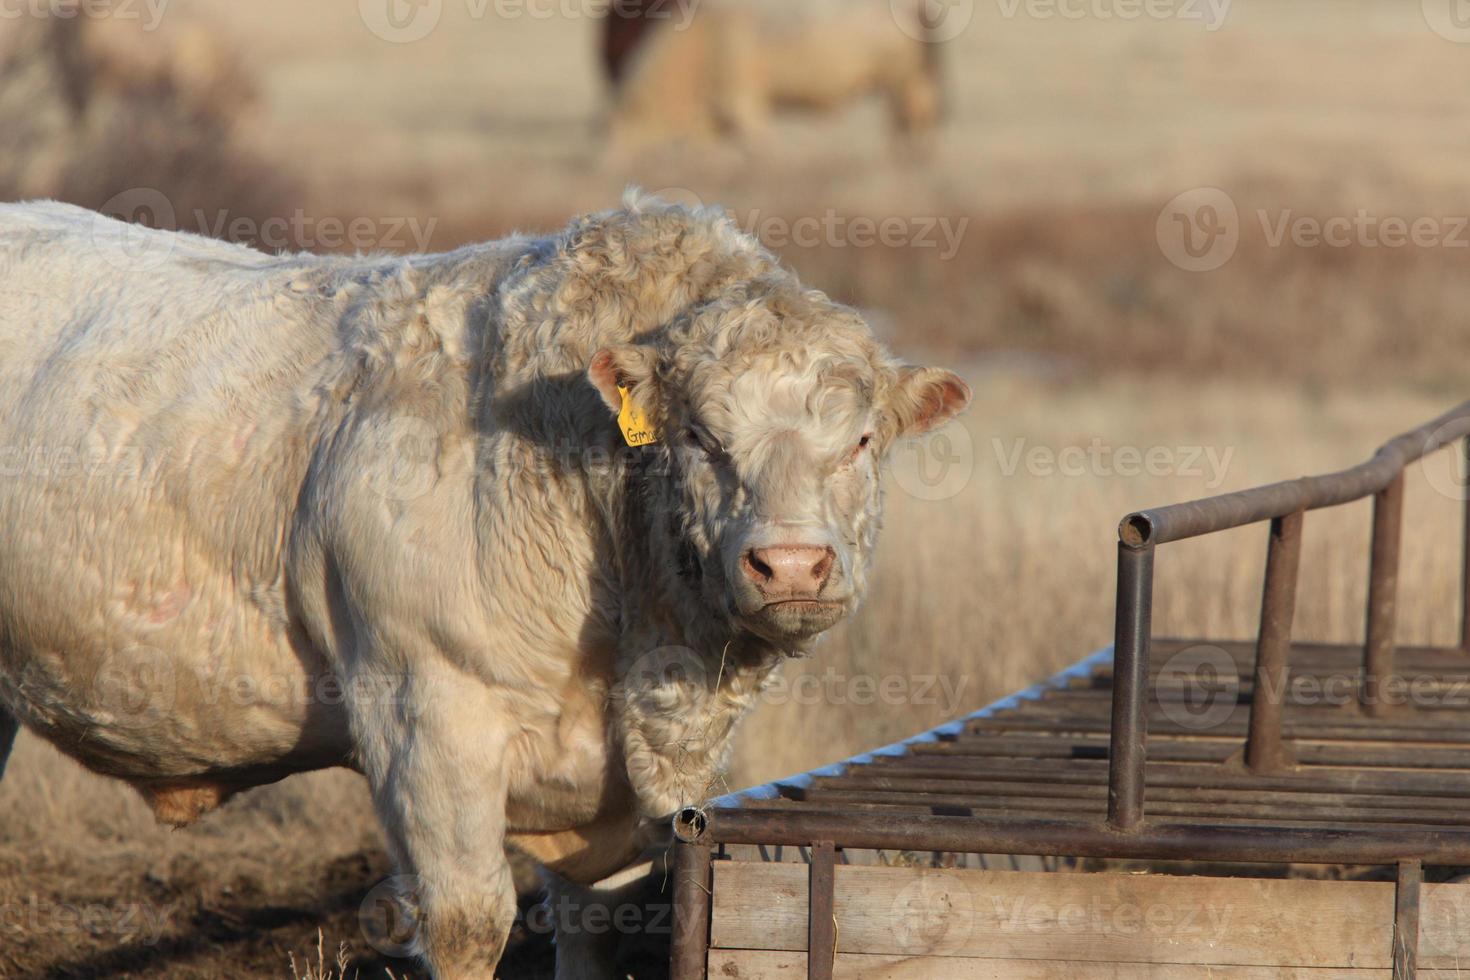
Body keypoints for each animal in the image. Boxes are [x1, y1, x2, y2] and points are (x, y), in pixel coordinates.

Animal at [596, 0, 940, 152]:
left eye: (616, 130)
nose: (604, 165)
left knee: (912, 116)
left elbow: (757, 136)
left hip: (902, 78)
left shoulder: (739, 93)